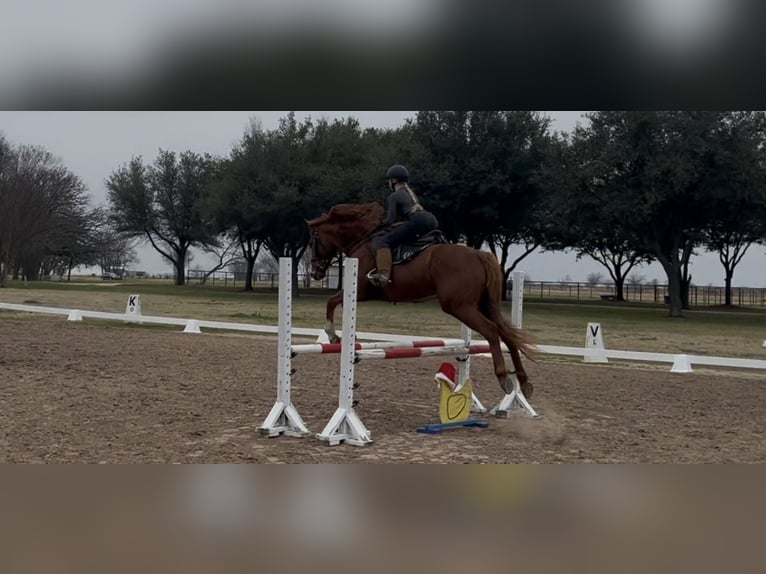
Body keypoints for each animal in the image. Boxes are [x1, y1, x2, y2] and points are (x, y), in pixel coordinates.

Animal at [308, 204, 540, 400]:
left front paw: (333, 335)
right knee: (506, 334)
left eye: (313, 241)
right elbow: (332, 301)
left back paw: (503, 377)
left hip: (459, 307)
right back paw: (524, 381)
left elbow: (331, 301)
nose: (315, 272)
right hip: (484, 305)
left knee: (491, 331)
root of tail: (478, 254)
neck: (362, 240)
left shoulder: (361, 292)